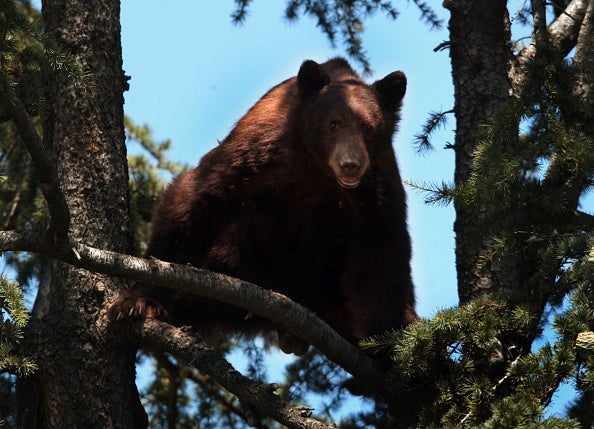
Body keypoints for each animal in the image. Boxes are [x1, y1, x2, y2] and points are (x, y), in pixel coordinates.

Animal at [112, 56, 416, 354]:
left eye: (368, 126)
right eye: (333, 123)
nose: (350, 164)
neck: (318, 170)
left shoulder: (375, 185)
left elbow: (381, 251)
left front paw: (384, 345)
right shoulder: (263, 151)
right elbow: (198, 197)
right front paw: (141, 300)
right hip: (235, 260)